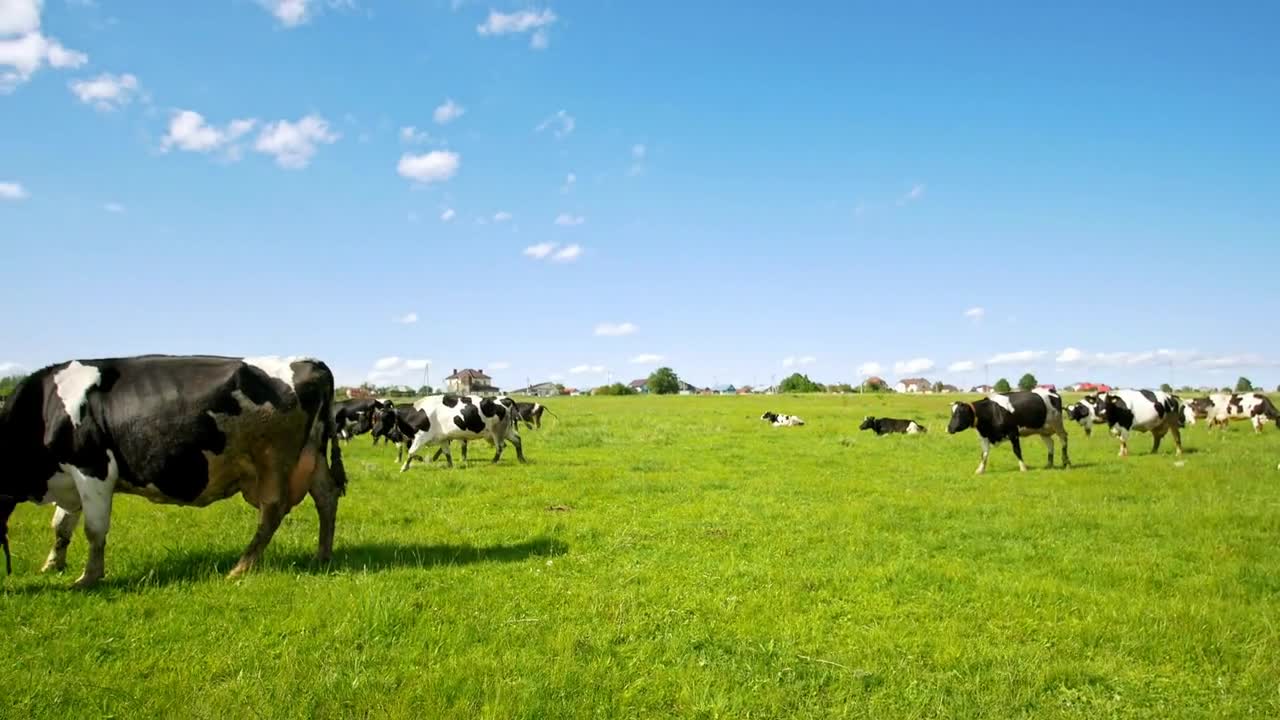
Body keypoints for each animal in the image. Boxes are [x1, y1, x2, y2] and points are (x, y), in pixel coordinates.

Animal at [0, 351, 348, 584]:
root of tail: (311, 362)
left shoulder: (92, 468)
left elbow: (94, 529)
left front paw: (88, 578)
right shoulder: (70, 477)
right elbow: (62, 525)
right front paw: (53, 565)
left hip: (273, 459)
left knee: (273, 509)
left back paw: (241, 567)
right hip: (311, 455)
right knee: (327, 497)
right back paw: (322, 555)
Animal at [942, 389, 1070, 474]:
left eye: (960, 413)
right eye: (952, 413)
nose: (949, 428)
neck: (992, 411)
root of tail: (1052, 392)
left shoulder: (1013, 433)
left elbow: (1017, 451)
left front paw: (1023, 468)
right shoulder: (984, 437)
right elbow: (984, 454)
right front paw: (980, 470)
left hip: (1058, 424)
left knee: (1063, 439)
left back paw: (1066, 462)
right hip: (1043, 430)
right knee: (1050, 443)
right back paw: (1049, 464)